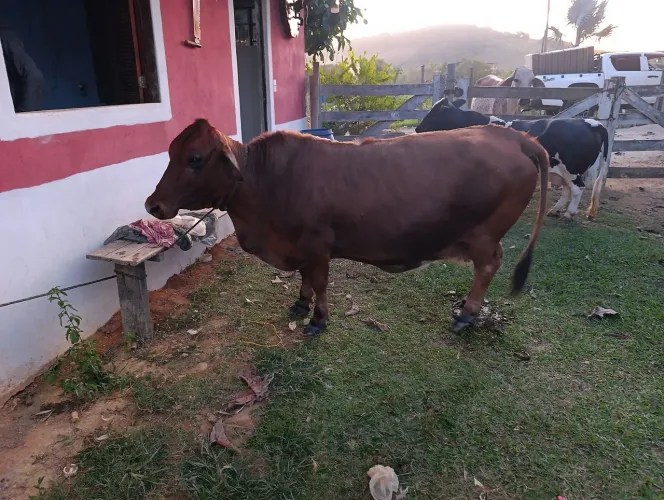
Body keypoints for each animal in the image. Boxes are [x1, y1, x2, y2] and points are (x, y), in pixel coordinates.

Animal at [145, 119, 548, 335]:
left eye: (195, 158)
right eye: (170, 152)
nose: (153, 204)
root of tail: (515, 137)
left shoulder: (318, 242)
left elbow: (321, 281)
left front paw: (318, 319)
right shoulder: (301, 246)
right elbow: (306, 278)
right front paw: (300, 303)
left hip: (483, 235)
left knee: (488, 266)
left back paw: (467, 314)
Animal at [415, 98, 609, 219]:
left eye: (434, 113)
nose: (417, 129)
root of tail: (590, 123)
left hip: (572, 169)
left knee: (576, 189)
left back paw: (569, 213)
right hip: (563, 171)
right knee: (568, 189)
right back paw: (555, 210)